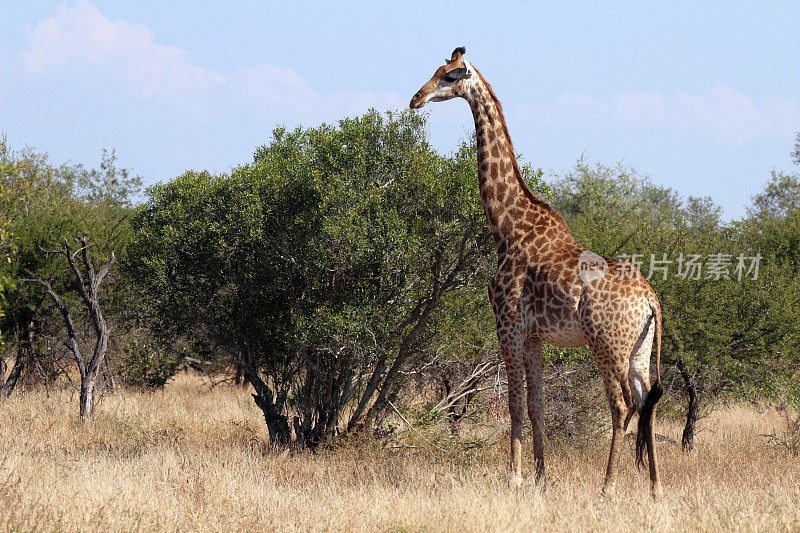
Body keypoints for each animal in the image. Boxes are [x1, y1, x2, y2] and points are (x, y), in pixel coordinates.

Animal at [410, 46, 664, 498]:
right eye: (436, 70)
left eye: (450, 76)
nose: (415, 99)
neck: (506, 225)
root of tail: (651, 300)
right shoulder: (534, 336)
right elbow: (537, 406)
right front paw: (541, 478)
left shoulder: (508, 324)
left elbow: (514, 405)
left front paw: (513, 477)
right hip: (640, 349)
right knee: (648, 400)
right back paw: (656, 489)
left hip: (607, 343)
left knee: (621, 405)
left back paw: (607, 487)